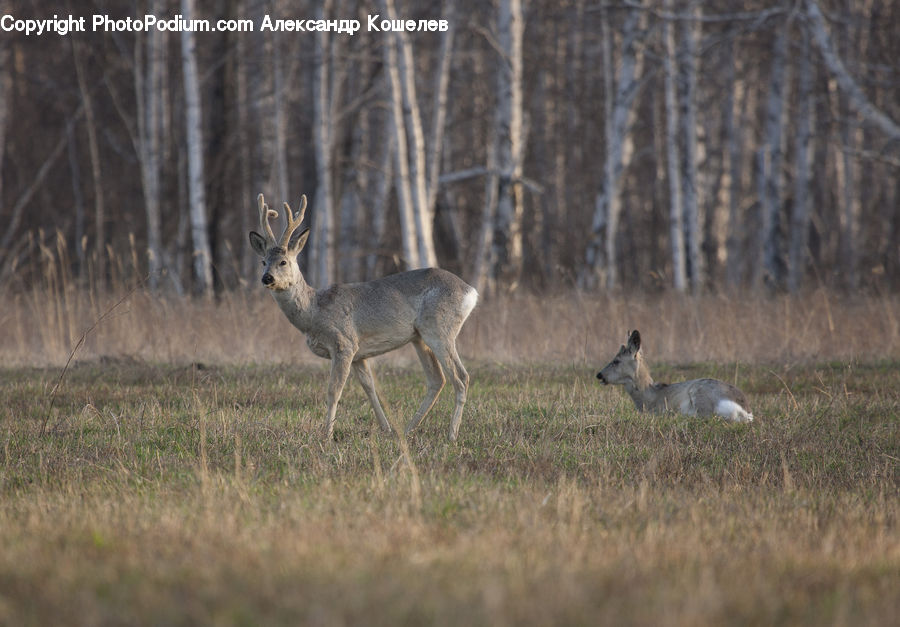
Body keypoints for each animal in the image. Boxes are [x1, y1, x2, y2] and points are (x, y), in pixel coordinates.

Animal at [250, 193, 478, 442]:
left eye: (283, 261)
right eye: (263, 262)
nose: (267, 278)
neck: (314, 312)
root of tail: (471, 292)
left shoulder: (344, 343)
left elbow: (334, 391)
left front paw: (327, 435)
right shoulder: (359, 353)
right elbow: (370, 388)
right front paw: (386, 428)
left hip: (439, 329)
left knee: (461, 377)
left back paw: (452, 435)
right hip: (419, 337)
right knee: (437, 379)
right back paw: (407, 430)